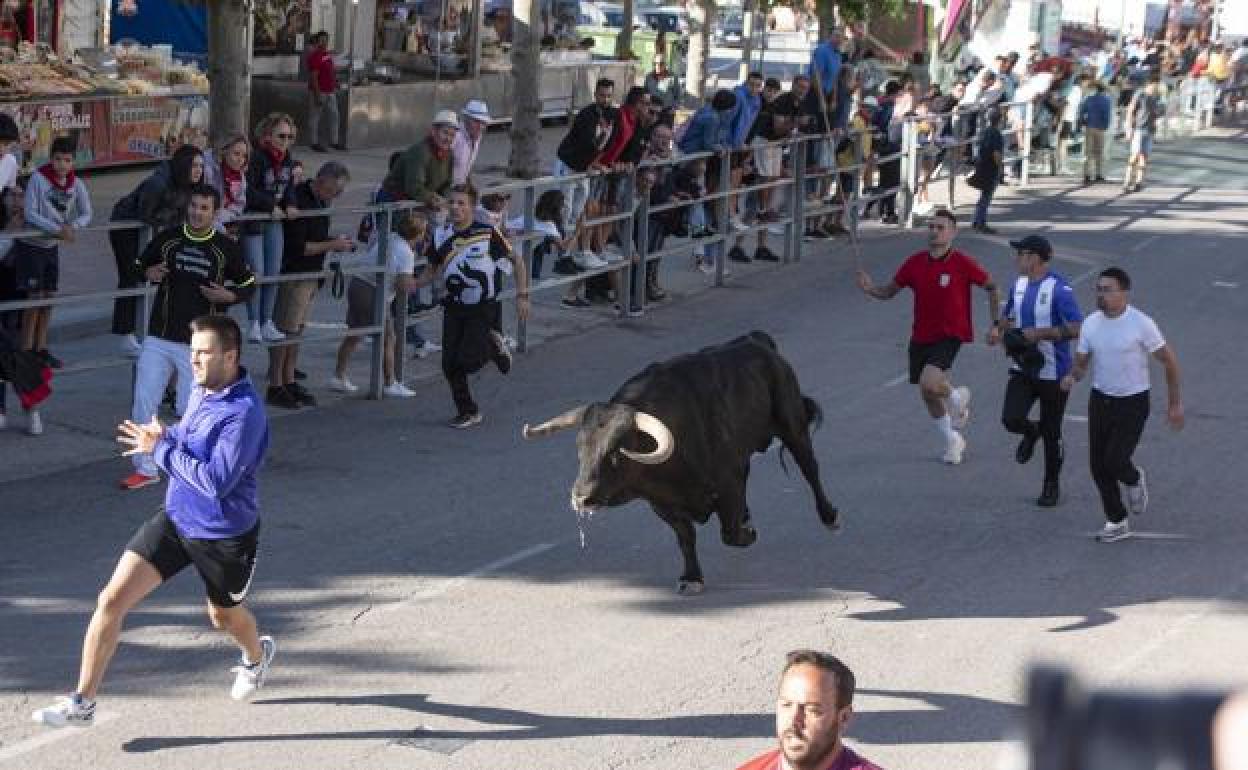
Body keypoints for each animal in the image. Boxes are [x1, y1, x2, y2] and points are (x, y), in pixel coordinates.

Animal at [521, 331, 843, 594]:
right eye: (580, 449)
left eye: (615, 452)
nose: (581, 498)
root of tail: (758, 341)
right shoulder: (663, 503)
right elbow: (686, 538)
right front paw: (692, 577)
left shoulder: (728, 482)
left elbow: (730, 533)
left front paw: (748, 532)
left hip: (794, 427)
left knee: (810, 468)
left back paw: (829, 516)